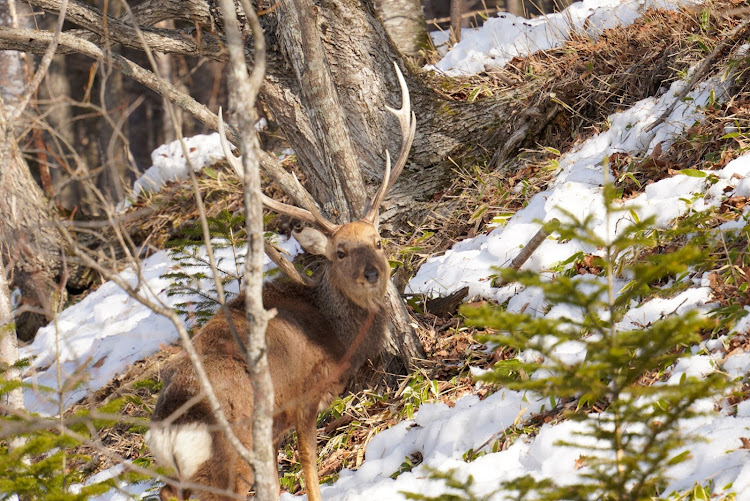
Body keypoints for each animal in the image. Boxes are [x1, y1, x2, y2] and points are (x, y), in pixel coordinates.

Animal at [145, 63, 418, 500]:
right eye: (339, 252)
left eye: (377, 240)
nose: (374, 273)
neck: (334, 335)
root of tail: (172, 434)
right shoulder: (304, 396)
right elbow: (309, 468)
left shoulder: (274, 431)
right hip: (232, 458)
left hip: (181, 475)